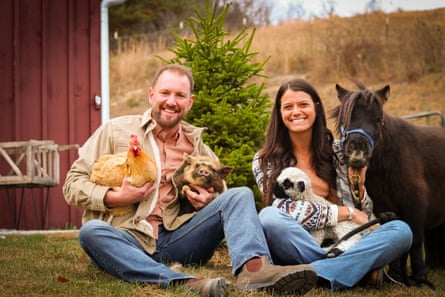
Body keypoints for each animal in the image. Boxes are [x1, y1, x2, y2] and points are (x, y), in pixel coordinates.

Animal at [330, 81, 444, 290]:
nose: (358, 149)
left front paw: (420, 278)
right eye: (345, 120)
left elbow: (415, 240)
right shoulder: (384, 206)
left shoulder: (415, 205)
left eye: (378, 119)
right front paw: (396, 276)